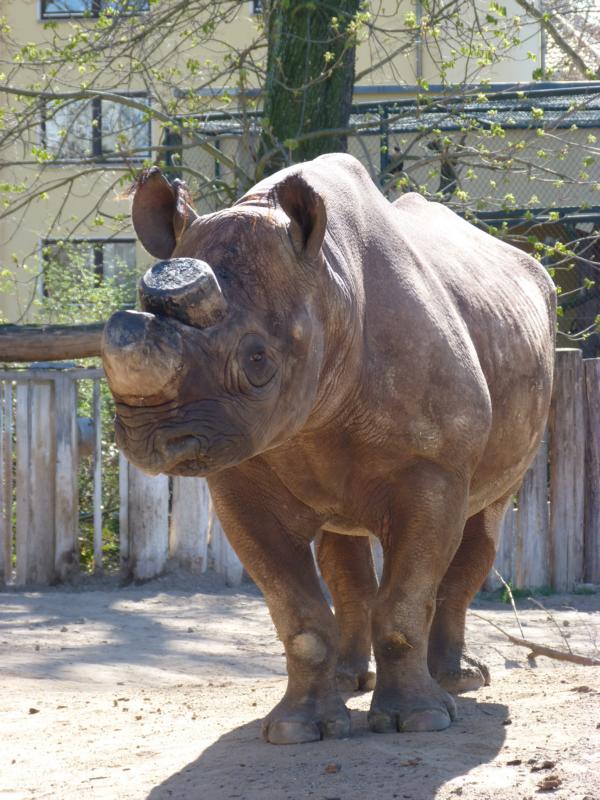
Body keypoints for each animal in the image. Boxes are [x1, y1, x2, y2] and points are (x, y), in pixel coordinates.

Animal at [102, 153, 555, 745]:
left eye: (257, 360)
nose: (147, 437)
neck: (328, 286)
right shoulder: (241, 474)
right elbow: (297, 615)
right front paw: (298, 730)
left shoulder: (432, 469)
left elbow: (406, 600)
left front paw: (420, 721)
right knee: (345, 550)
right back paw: (348, 681)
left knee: (485, 523)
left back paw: (457, 684)